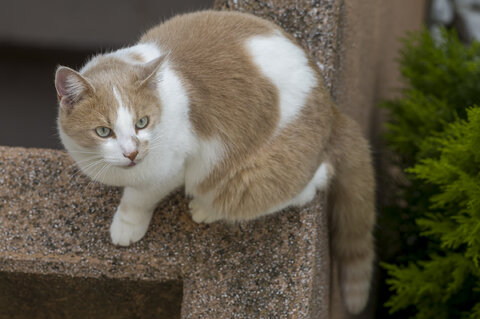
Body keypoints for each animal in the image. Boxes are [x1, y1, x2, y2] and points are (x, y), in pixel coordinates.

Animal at [53, 9, 376, 316]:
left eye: (142, 123)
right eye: (103, 131)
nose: (131, 153)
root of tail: (332, 107)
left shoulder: (172, 167)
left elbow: (138, 198)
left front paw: (126, 225)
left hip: (254, 180)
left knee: (310, 183)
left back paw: (205, 208)